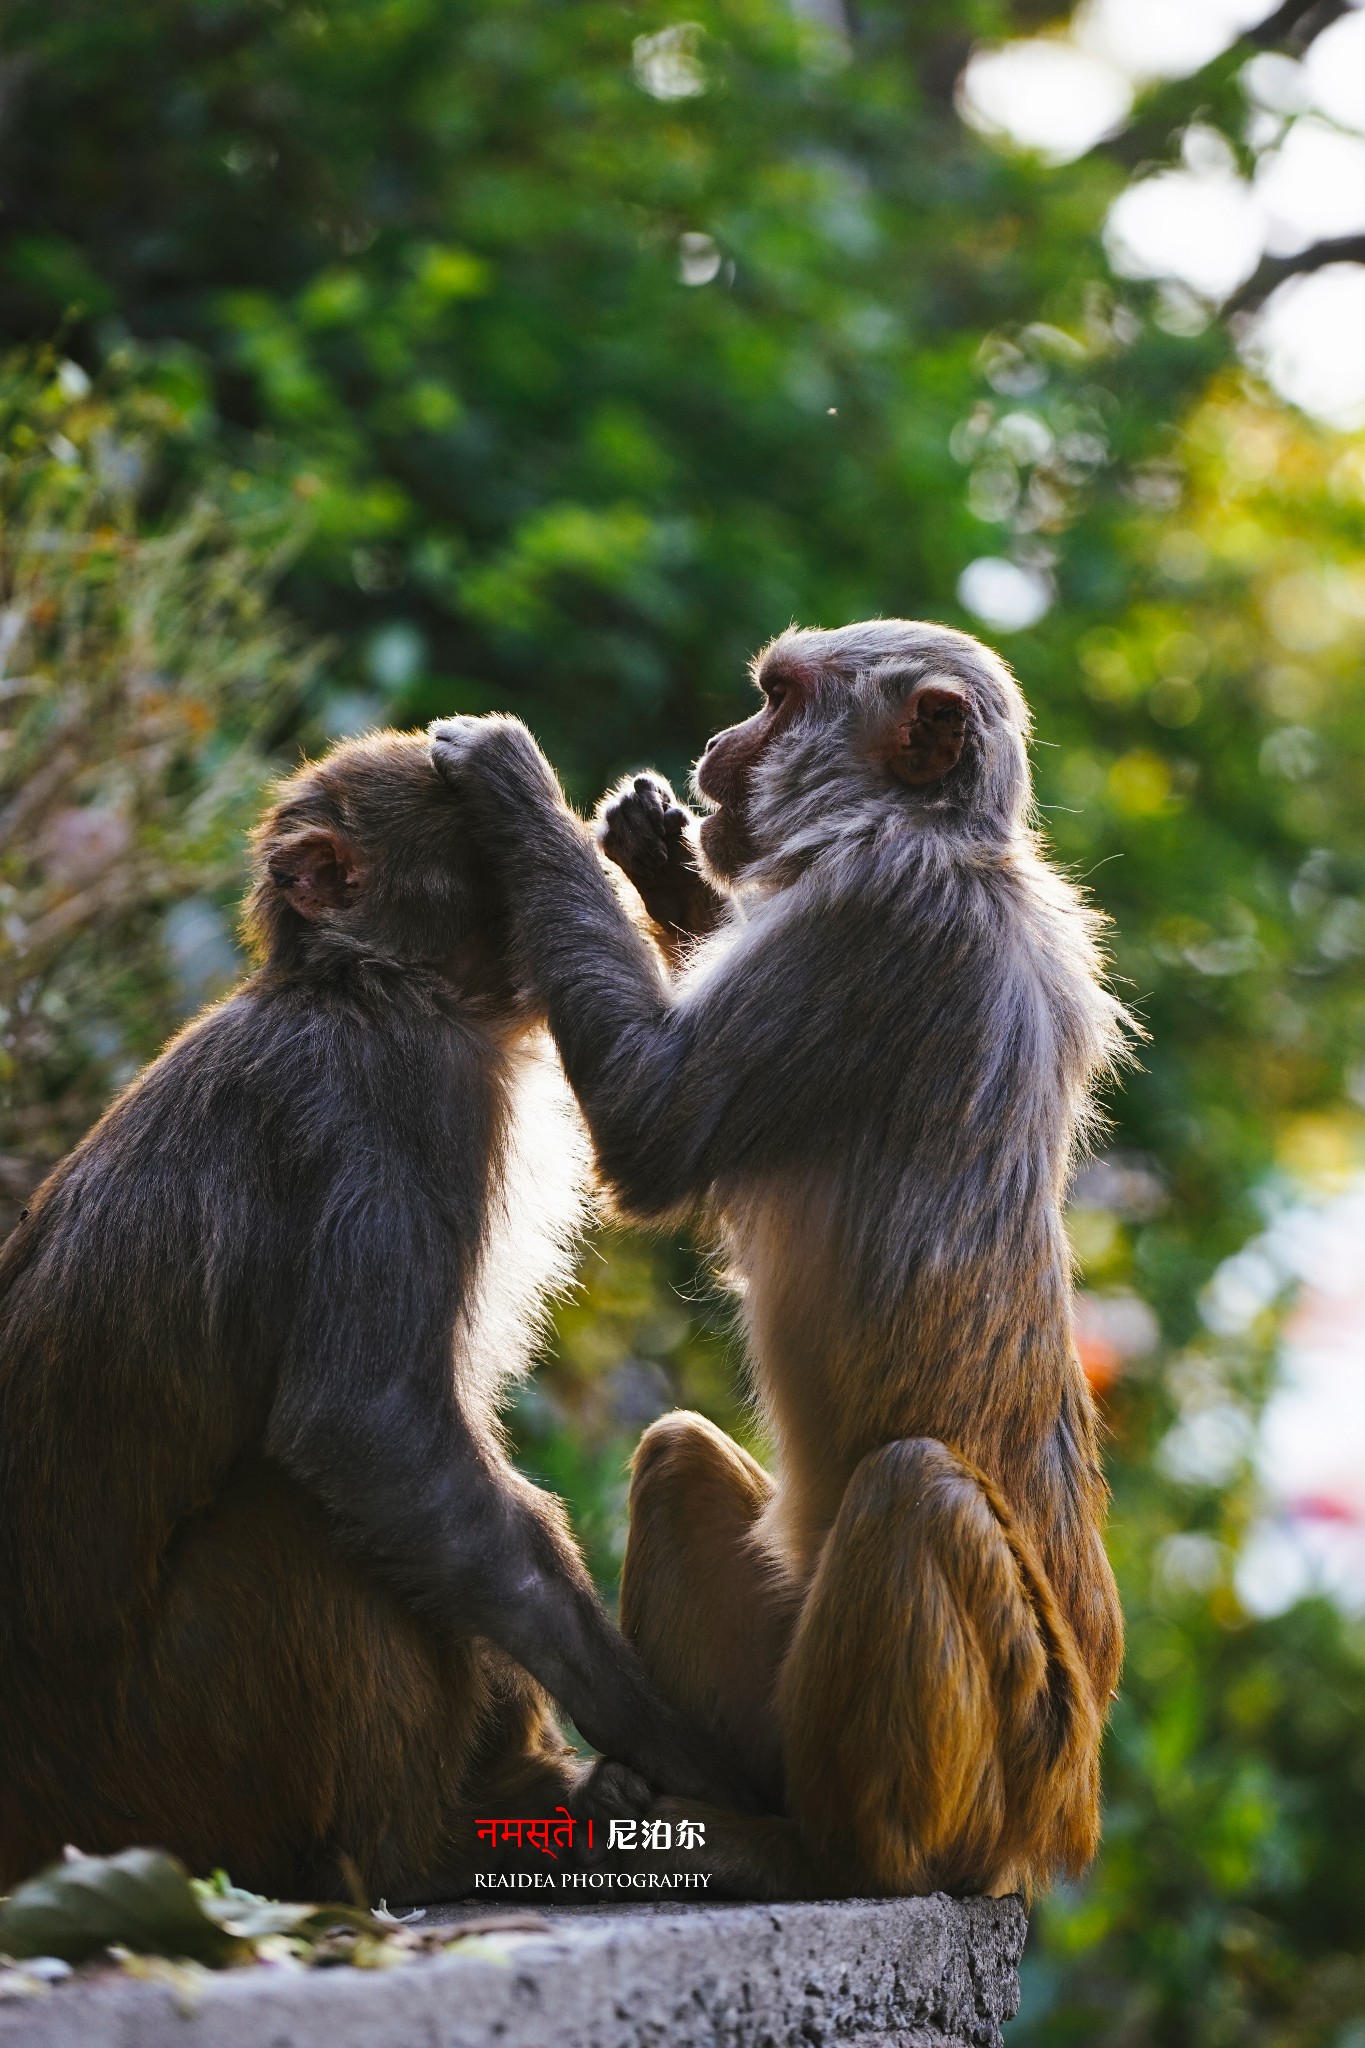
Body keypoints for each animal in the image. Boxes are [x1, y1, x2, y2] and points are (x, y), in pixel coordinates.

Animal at [0, 729, 749, 1892]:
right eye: (487, 847)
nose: (580, 848)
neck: (375, 985)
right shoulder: (385, 1097)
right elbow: (370, 1431)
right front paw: (661, 1734)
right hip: (166, 1767)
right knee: (300, 1510)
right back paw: (431, 1842)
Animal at [431, 622, 1137, 1900]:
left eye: (779, 700)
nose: (721, 742)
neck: (933, 836)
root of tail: (1061, 1818)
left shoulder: (874, 916)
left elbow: (659, 1124)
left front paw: (516, 785)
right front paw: (660, 858)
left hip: (1006, 1751)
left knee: (912, 1492)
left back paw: (816, 1852)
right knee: (677, 1456)